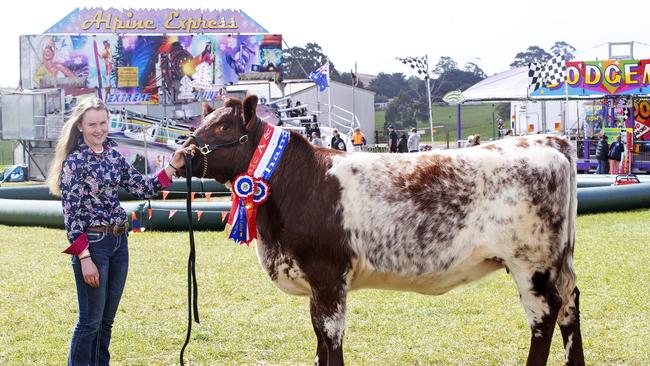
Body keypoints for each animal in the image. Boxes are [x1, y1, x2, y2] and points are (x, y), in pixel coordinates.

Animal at [181, 95, 584, 366]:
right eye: (200, 123)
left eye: (222, 127)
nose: (181, 155)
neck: (295, 180)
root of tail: (548, 143)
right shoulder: (316, 281)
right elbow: (318, 336)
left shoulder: (328, 275)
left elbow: (330, 336)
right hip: (558, 264)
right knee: (570, 304)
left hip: (531, 264)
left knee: (544, 316)